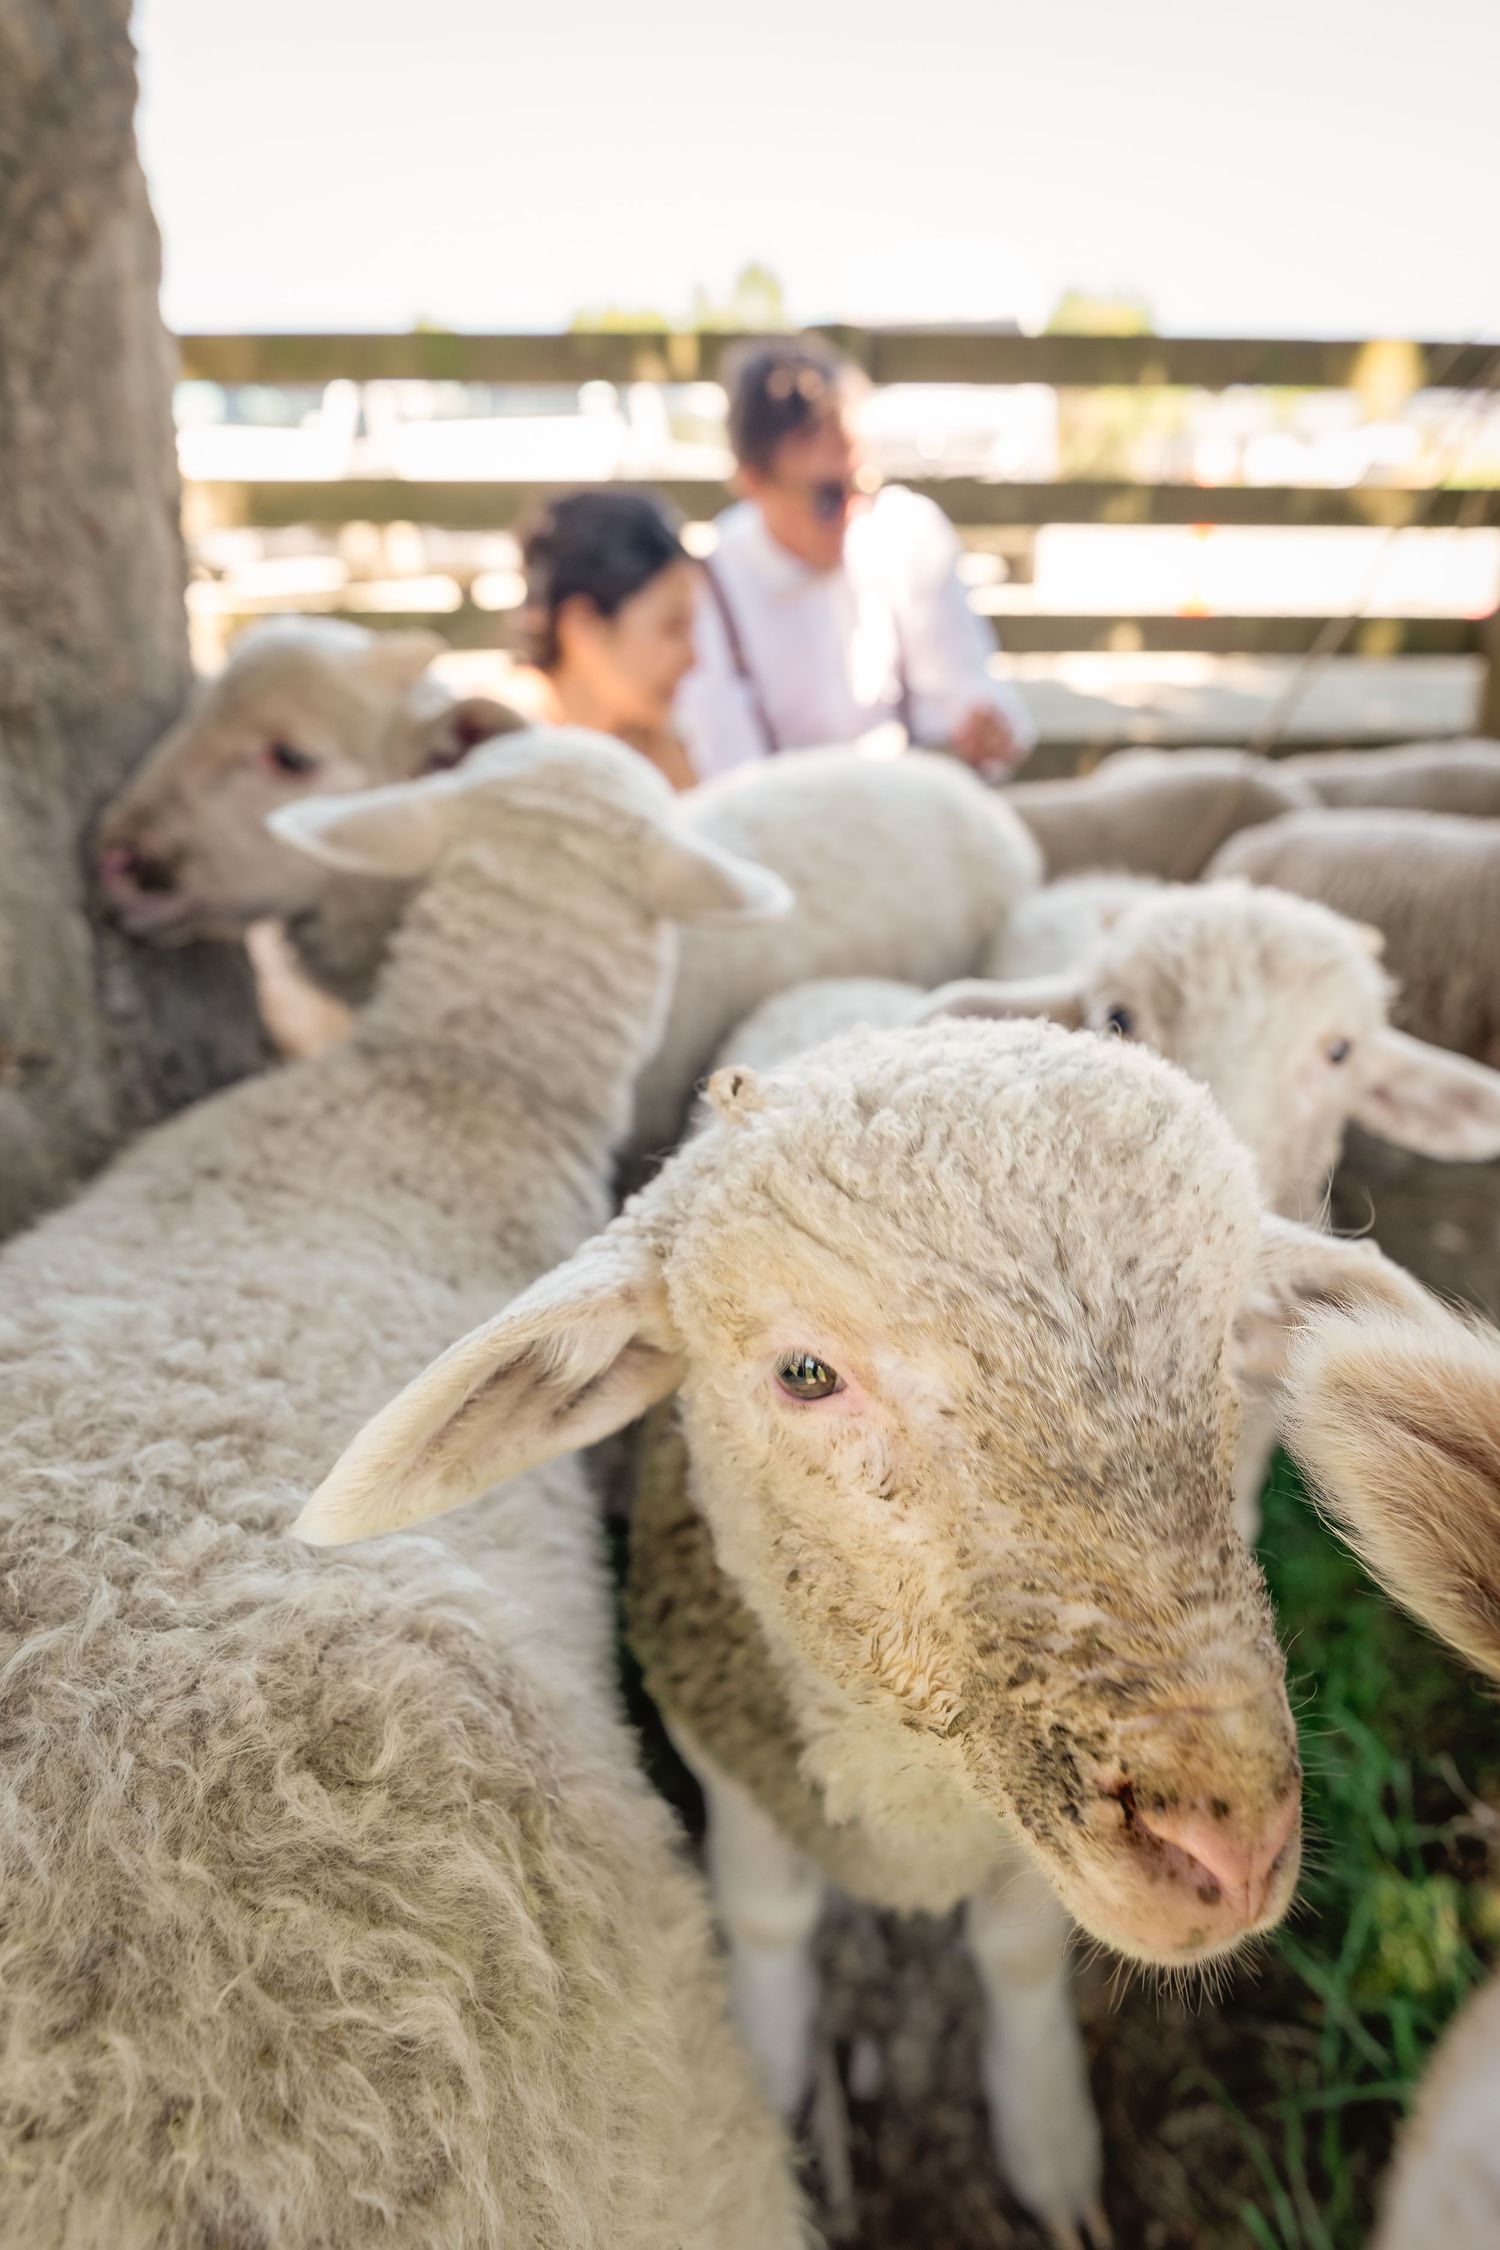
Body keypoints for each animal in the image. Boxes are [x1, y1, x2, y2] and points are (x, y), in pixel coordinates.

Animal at [292, 1011, 1436, 2246]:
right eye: (804, 1374)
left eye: (1230, 1339)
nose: (1229, 1849)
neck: (915, 1804)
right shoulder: (728, 1752)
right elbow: (769, 1919)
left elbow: (1017, 1955)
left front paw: (1048, 2143)